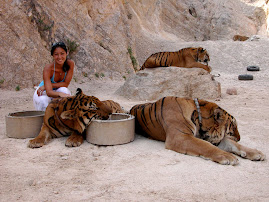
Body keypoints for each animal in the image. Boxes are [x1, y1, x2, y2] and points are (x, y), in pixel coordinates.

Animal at [129, 96, 264, 166]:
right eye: (233, 126)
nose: (240, 138)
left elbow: (233, 145)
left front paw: (256, 153)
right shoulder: (181, 137)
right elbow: (205, 146)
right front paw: (228, 156)